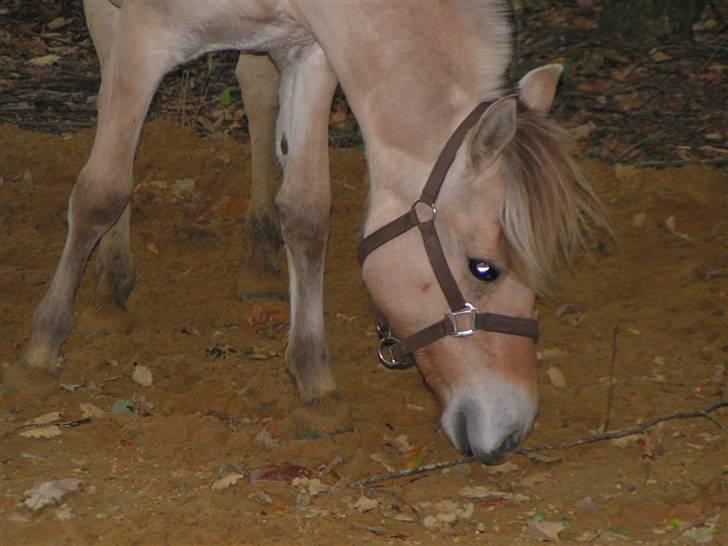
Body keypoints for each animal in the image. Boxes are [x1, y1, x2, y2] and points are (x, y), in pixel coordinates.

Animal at [14, 2, 604, 466]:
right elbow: (102, 191)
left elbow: (306, 214)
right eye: (485, 269)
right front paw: (40, 350)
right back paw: (110, 287)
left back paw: (256, 262)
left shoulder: (312, 53)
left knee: (253, 89)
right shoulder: (145, 35)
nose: (512, 434)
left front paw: (316, 384)